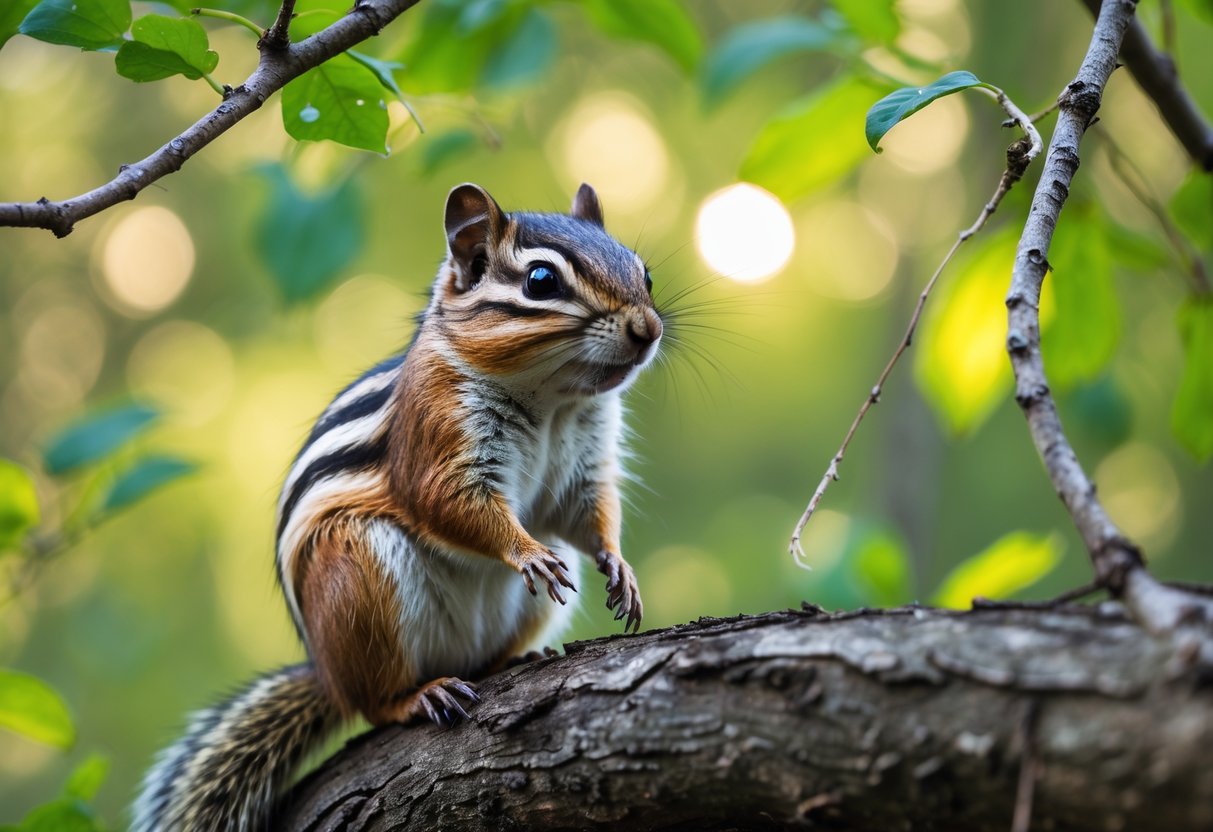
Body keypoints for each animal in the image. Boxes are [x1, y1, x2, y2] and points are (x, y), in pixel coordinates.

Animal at [131, 182, 662, 831]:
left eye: (645, 272)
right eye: (540, 281)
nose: (648, 328)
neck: (552, 401)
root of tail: (328, 676)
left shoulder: (585, 464)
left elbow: (590, 516)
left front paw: (620, 569)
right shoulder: (437, 431)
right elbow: (448, 502)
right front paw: (525, 551)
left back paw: (512, 658)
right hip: (359, 577)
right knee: (375, 702)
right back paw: (418, 694)